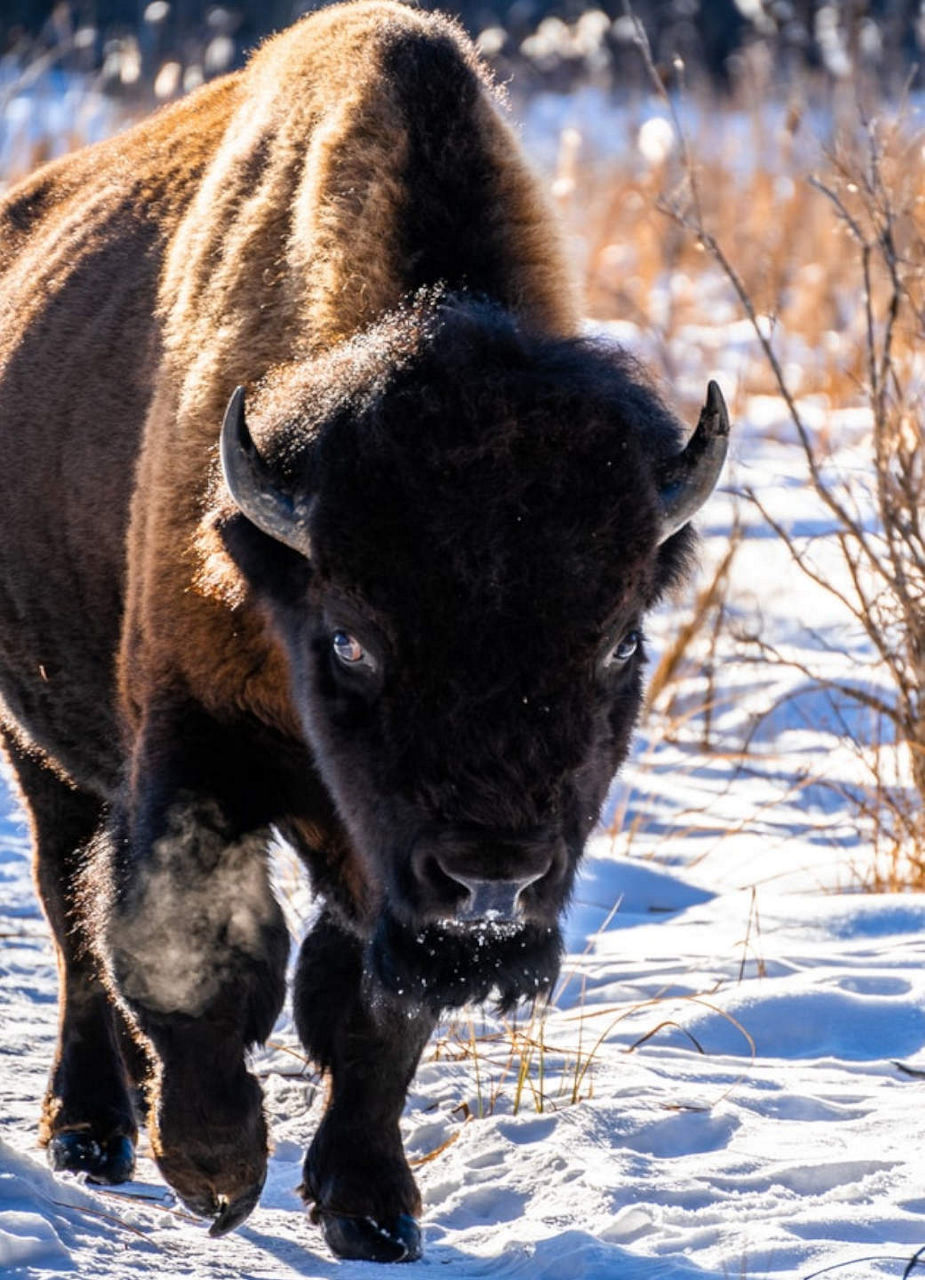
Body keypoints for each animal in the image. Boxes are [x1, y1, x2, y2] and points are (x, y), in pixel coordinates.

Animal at [0, 0, 726, 1259]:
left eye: (618, 642)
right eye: (350, 639)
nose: (493, 882)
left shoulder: (385, 872)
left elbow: (370, 1008)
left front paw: (370, 1206)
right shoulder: (189, 744)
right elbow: (183, 944)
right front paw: (215, 1169)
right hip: (37, 739)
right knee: (66, 902)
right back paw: (91, 1127)